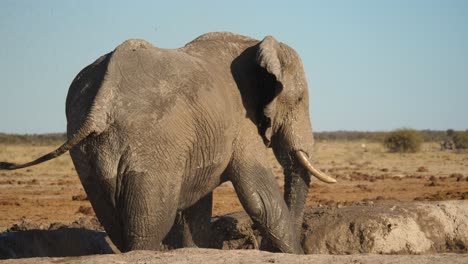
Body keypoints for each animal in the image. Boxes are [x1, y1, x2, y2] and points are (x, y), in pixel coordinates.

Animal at [0, 31, 336, 254]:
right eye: (300, 100)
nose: (260, 246)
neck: (255, 45)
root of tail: (101, 99)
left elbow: (198, 208)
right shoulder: (241, 120)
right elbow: (259, 196)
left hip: (91, 153)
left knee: (116, 221)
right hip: (152, 144)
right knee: (149, 222)